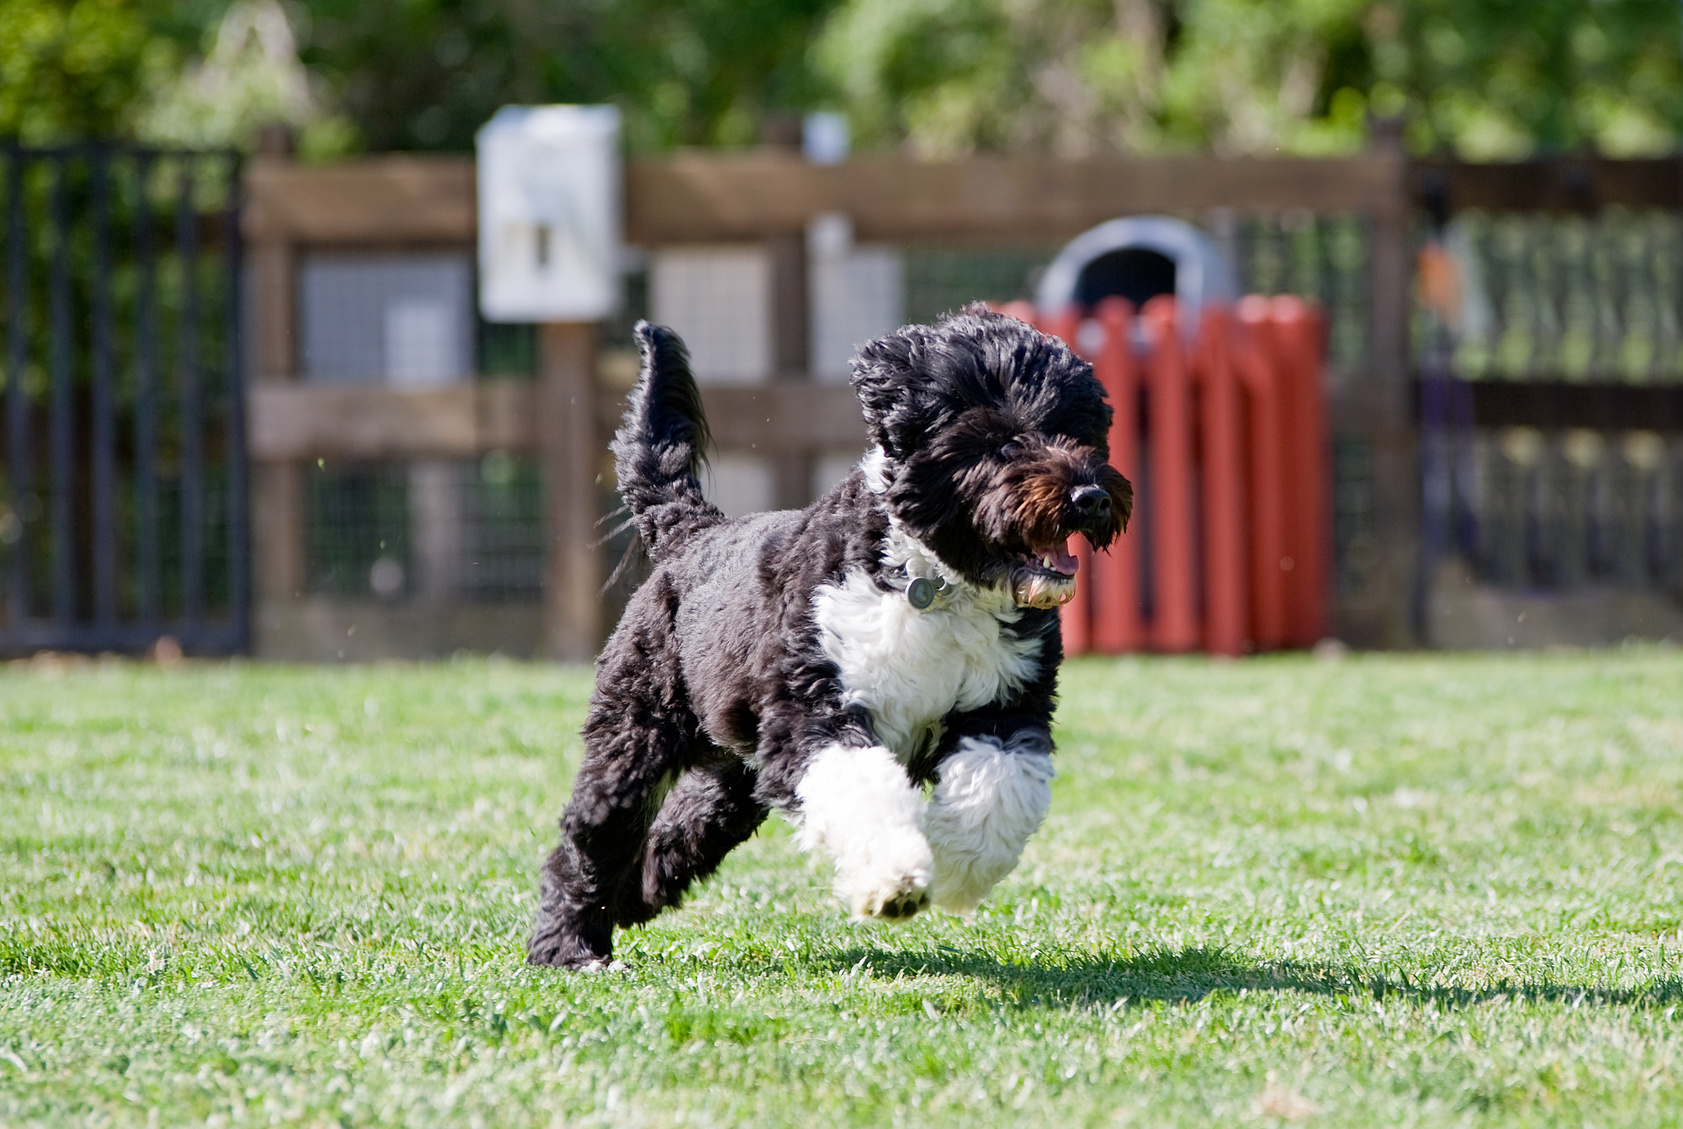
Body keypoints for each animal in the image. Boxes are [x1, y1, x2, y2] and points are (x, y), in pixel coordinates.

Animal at [525, 304, 1130, 969]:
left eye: (1081, 433)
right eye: (1003, 440)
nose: (1090, 496)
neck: (931, 583)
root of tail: (692, 534)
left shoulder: (1005, 708)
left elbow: (996, 792)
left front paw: (950, 867)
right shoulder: (814, 710)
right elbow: (861, 788)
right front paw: (893, 878)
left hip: (736, 772)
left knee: (685, 823)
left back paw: (636, 895)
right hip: (636, 732)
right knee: (591, 837)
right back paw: (569, 946)